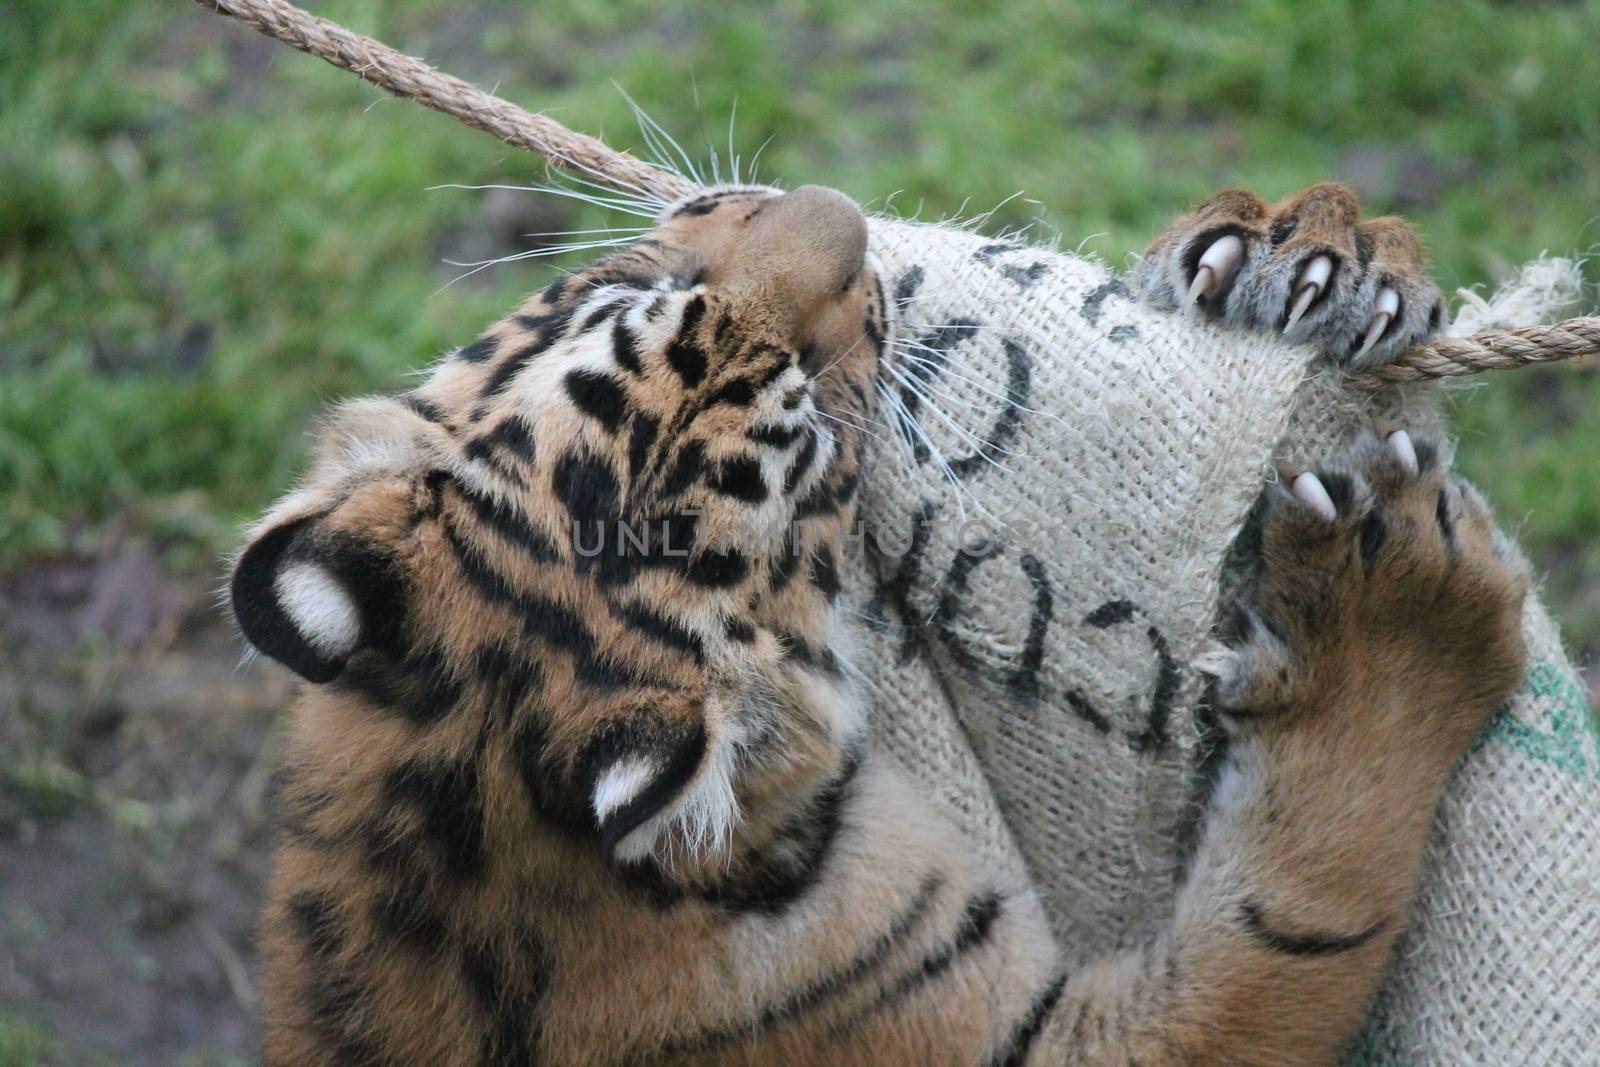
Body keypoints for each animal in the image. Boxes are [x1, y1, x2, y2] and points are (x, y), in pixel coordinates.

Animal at [233, 179, 1523, 1062]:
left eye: (616, 296)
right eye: (810, 440)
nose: (840, 215)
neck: (468, 785)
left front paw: (1306, 248)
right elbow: (1310, 889)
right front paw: (1403, 597)